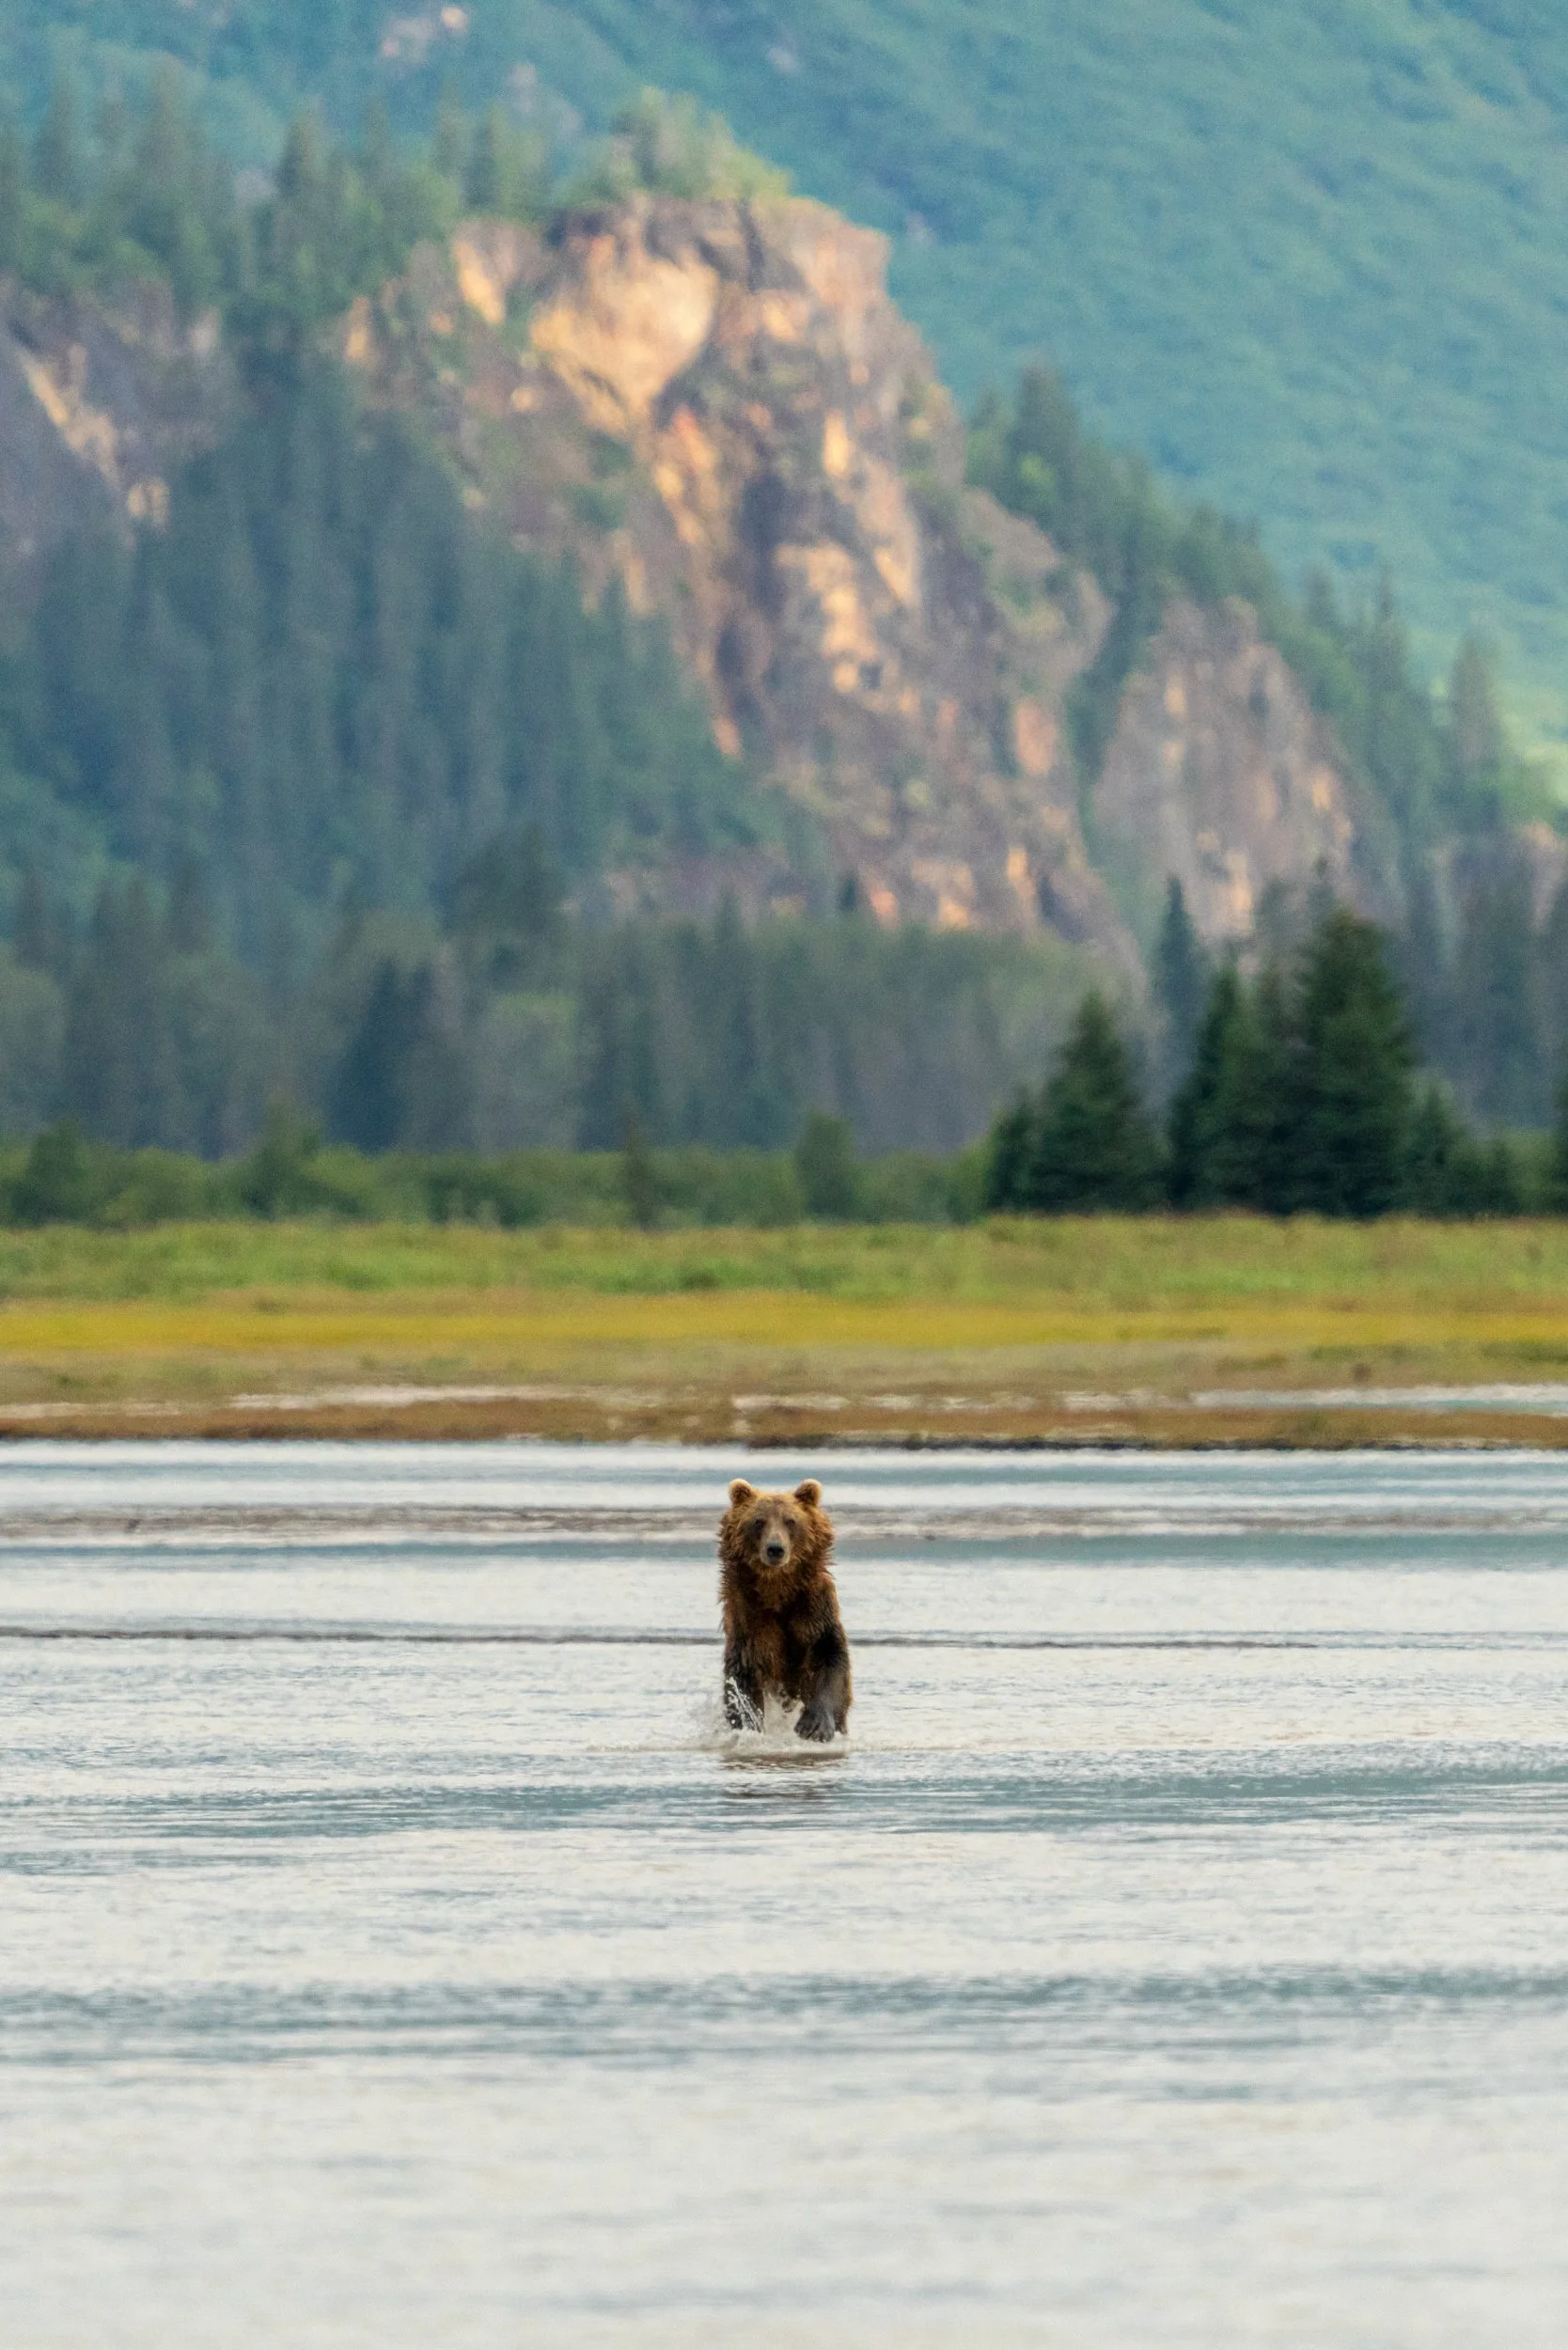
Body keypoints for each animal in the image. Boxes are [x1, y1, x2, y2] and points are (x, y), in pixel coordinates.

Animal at [718, 1477, 852, 1741]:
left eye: (790, 1521)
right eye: (759, 1521)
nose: (775, 1549)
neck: (778, 1590)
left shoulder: (814, 1610)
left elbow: (829, 1657)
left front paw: (814, 1725)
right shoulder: (748, 1617)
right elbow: (742, 1674)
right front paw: (749, 1725)